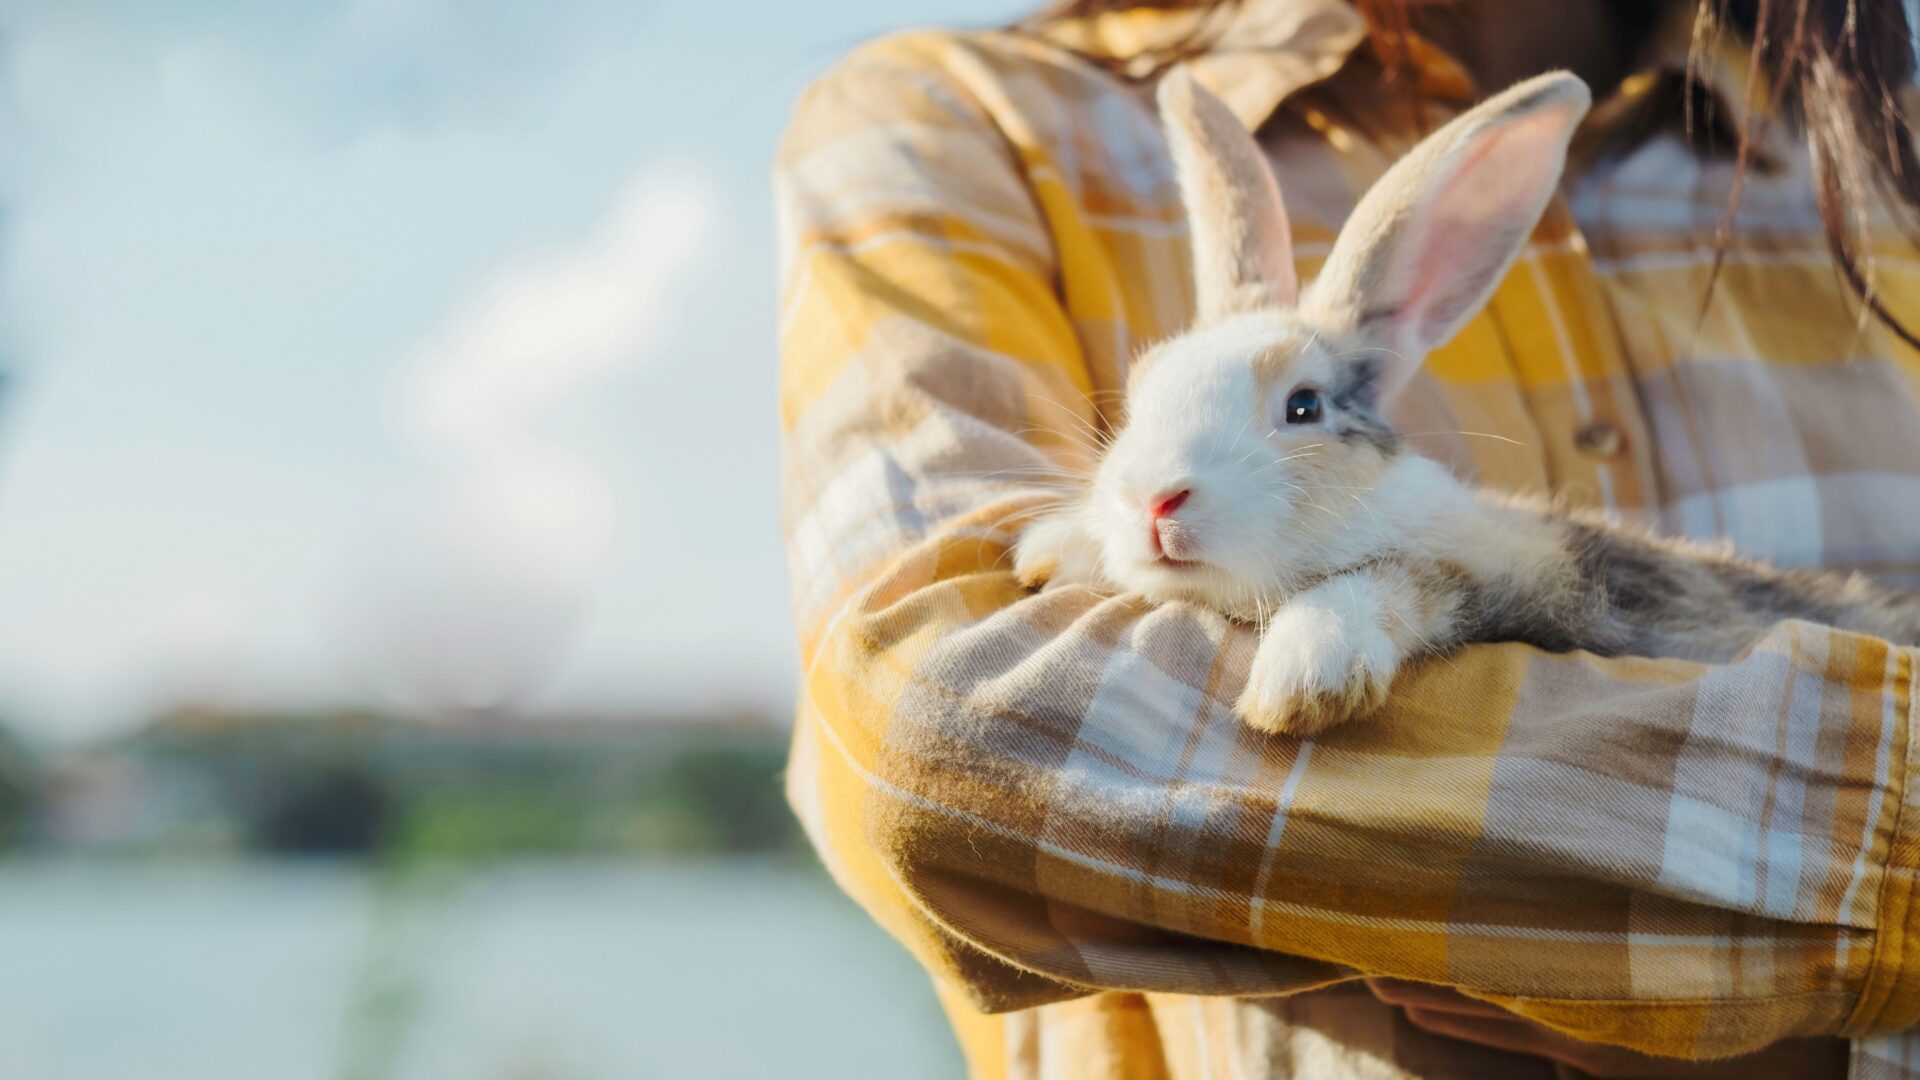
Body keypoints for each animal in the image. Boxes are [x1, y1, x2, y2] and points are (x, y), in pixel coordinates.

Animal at [1012, 68, 1920, 736]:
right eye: (1141, 392)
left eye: (1303, 407)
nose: (1154, 501)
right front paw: (1053, 551)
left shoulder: (1521, 581)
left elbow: (1388, 582)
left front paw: (1304, 680)